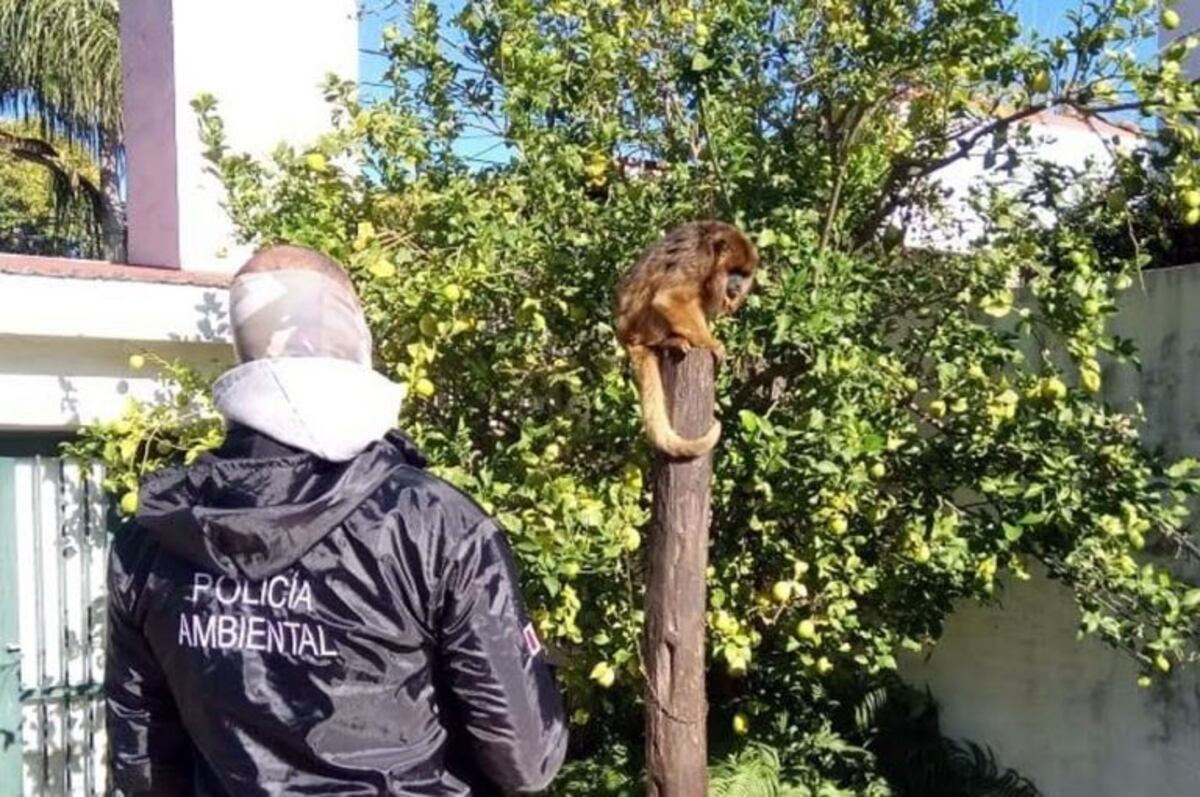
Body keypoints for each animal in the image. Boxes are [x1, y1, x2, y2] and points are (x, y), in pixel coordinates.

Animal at [614, 220, 758, 458]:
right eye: (733, 272)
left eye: (744, 274)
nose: (738, 285)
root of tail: (625, 337)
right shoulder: (698, 258)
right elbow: (670, 298)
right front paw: (712, 344)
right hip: (642, 327)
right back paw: (668, 341)